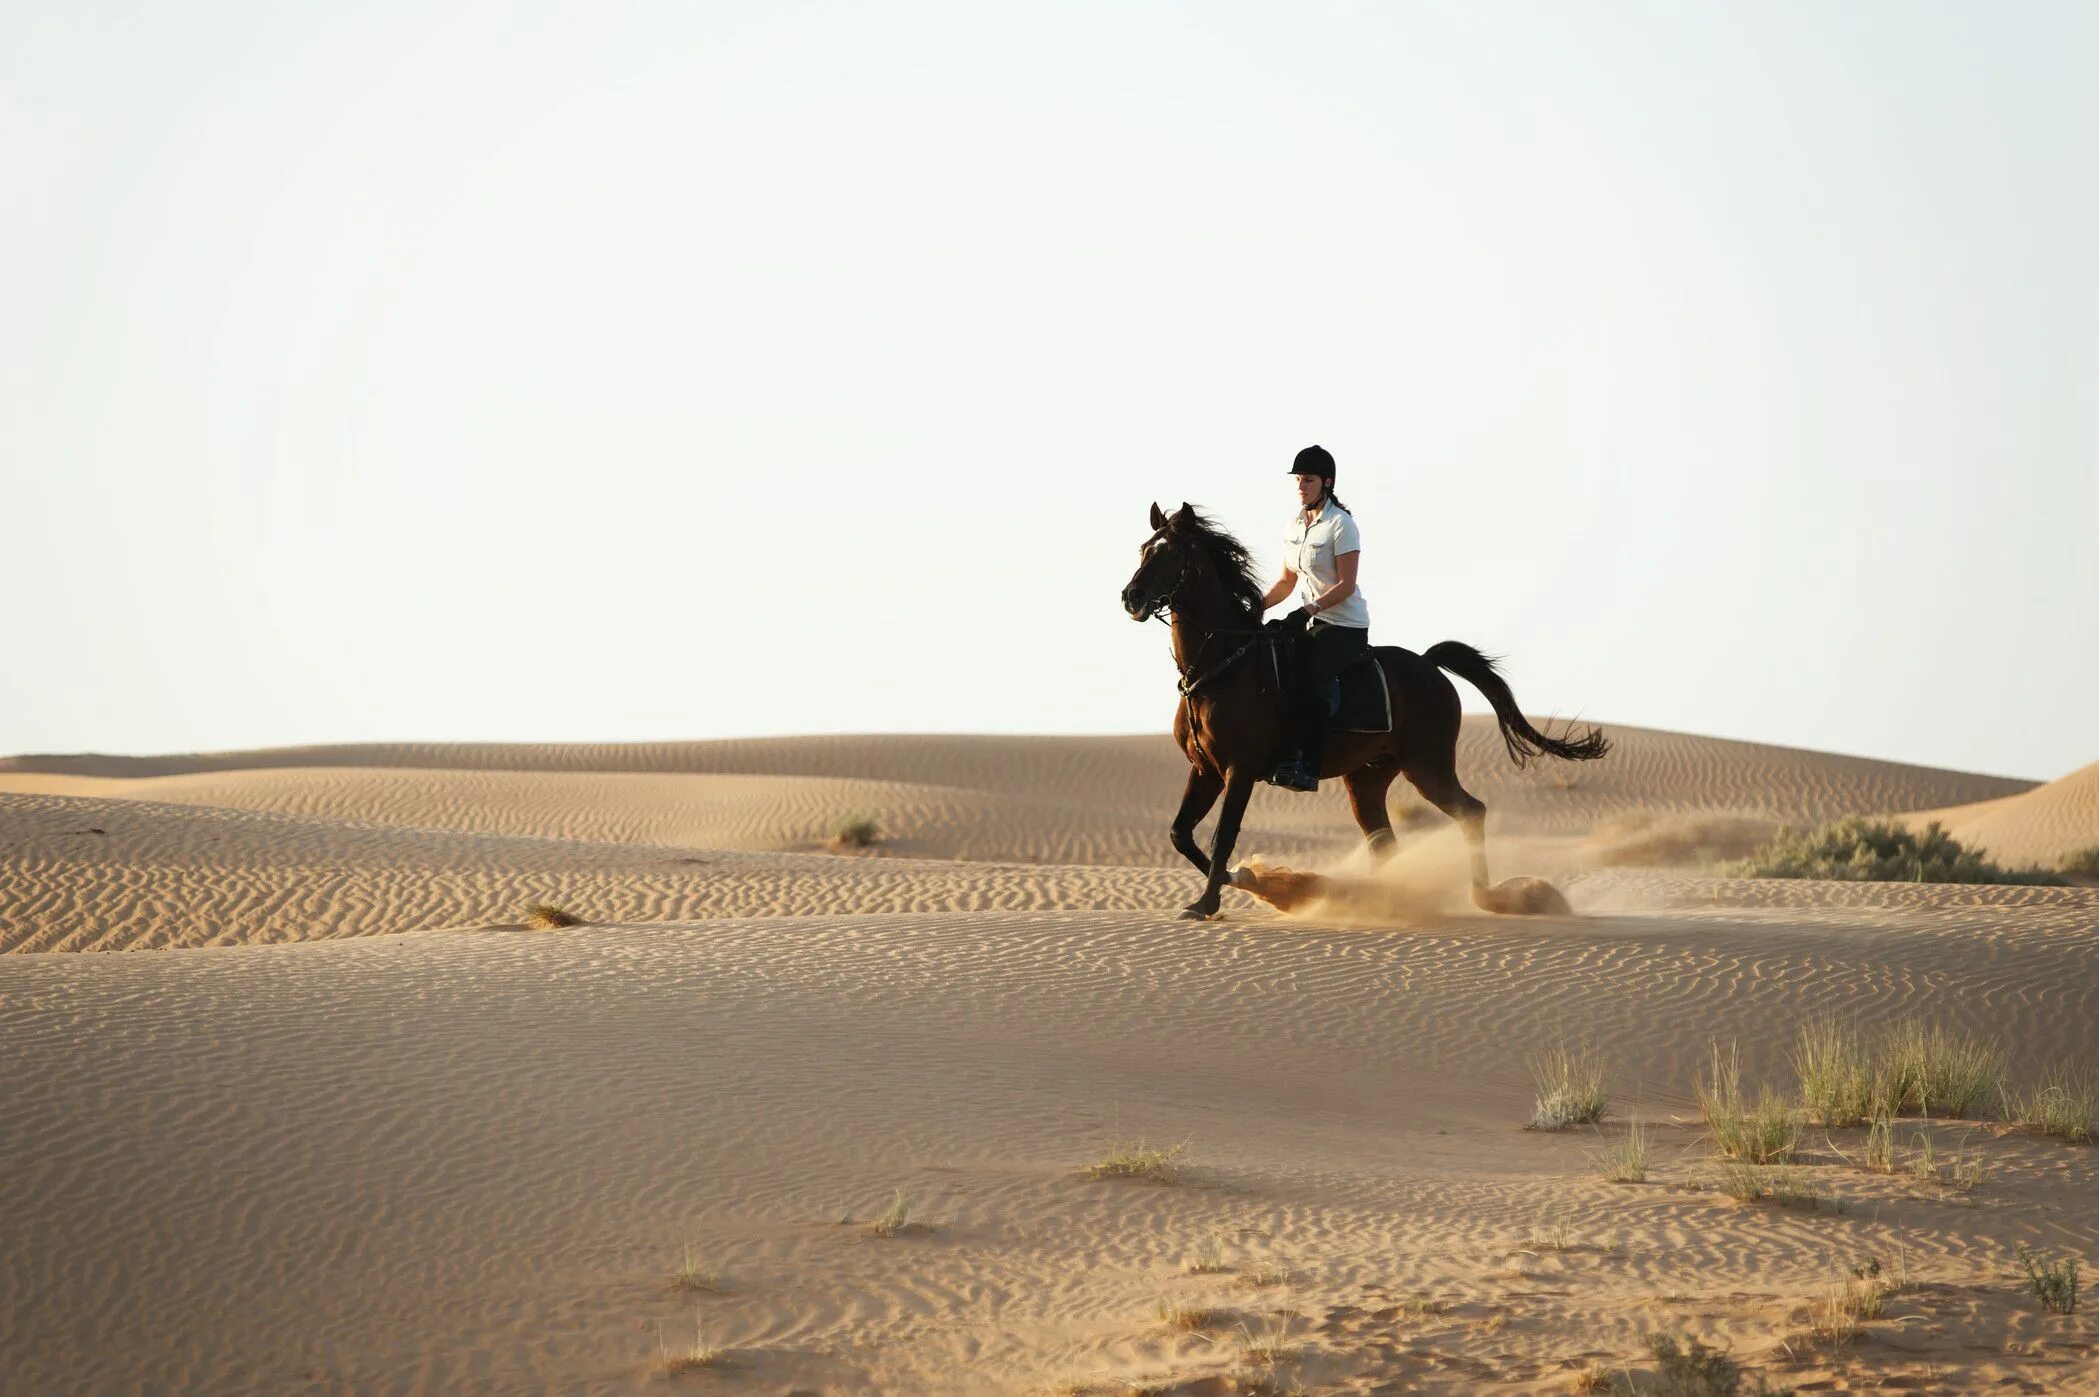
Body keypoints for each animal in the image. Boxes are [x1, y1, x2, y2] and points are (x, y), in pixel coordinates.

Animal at [1125, 497, 1612, 914]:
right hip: (1368, 777)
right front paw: (1247, 881)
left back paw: (1485, 898)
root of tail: (1430, 666)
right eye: (1144, 549)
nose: (1131, 597)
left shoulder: (1238, 770)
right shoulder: (1205, 769)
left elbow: (1223, 837)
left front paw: (1214, 900)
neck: (1222, 665)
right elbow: (1180, 834)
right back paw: (1383, 898)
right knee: (1384, 841)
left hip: (1427, 766)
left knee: (1471, 811)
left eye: (1171, 555)